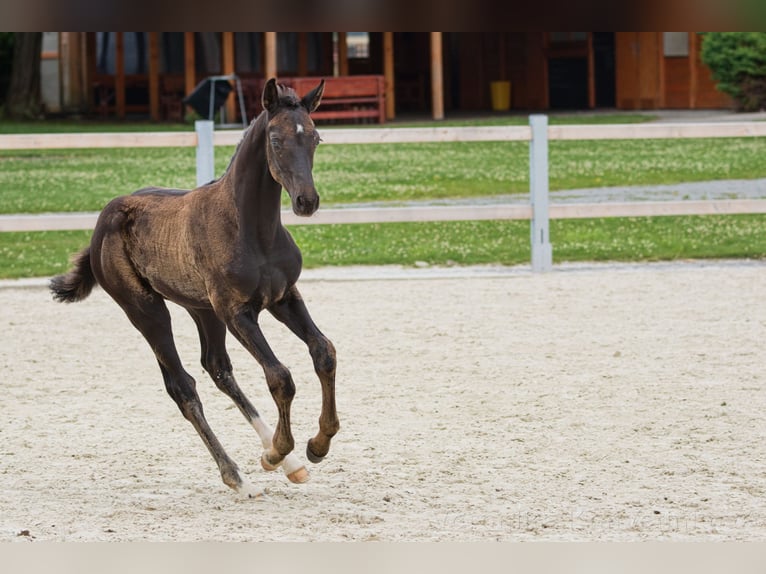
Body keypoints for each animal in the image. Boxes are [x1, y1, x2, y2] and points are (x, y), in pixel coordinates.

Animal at [51, 79, 340, 498]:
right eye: (275, 139)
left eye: (315, 137)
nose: (306, 201)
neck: (252, 229)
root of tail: (101, 222)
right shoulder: (237, 311)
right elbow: (279, 376)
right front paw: (277, 451)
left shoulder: (284, 297)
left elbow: (323, 351)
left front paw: (316, 446)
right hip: (147, 311)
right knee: (183, 386)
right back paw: (238, 476)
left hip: (201, 309)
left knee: (217, 368)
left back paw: (290, 466)